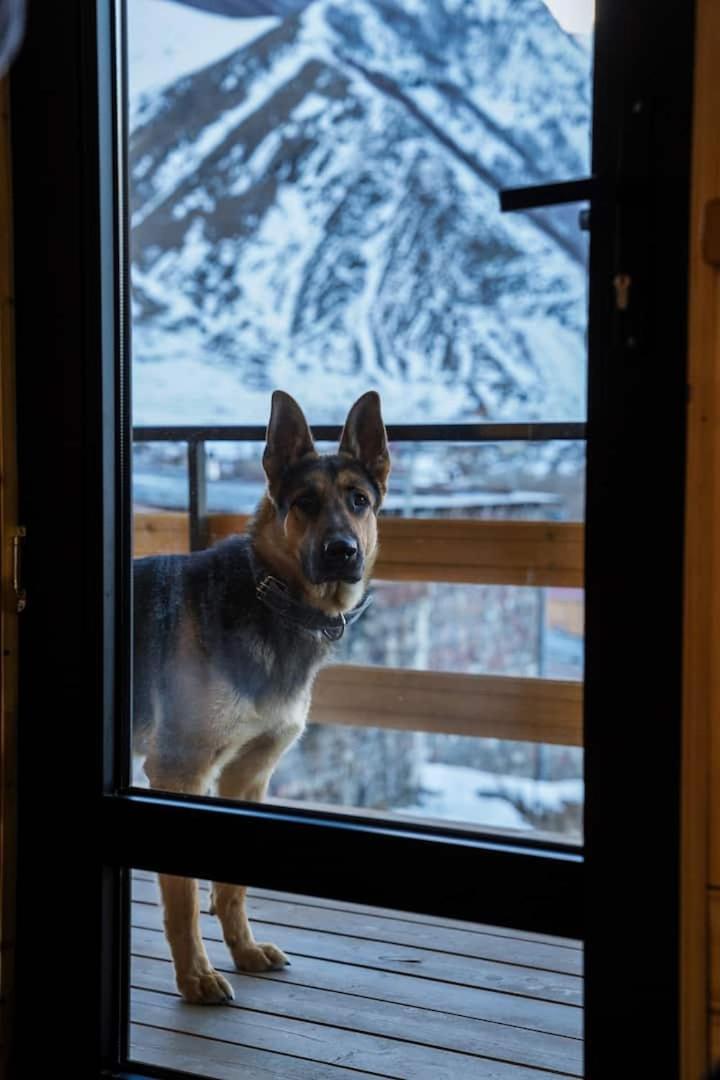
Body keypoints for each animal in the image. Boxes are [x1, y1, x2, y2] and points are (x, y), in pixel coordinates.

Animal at [132, 390, 390, 1002]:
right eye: (304, 503)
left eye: (359, 501)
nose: (342, 551)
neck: (271, 595)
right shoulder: (179, 773)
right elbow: (183, 898)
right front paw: (195, 977)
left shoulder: (247, 776)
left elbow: (231, 887)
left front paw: (243, 951)